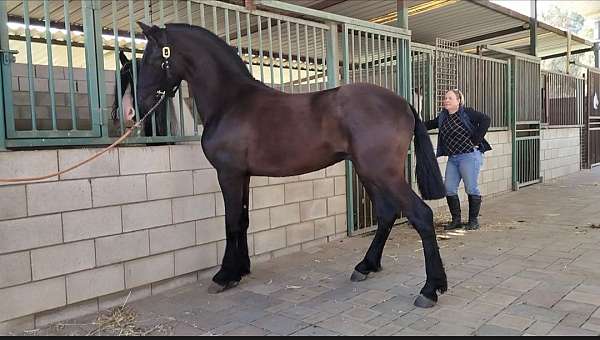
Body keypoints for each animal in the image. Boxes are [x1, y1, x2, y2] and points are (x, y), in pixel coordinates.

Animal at [135, 21, 446, 308]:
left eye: (151, 58)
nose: (140, 104)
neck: (231, 101)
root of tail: (404, 104)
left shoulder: (228, 174)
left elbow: (231, 222)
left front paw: (224, 276)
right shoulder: (243, 175)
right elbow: (243, 220)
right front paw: (241, 269)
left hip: (383, 174)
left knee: (421, 215)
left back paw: (430, 289)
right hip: (369, 172)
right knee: (386, 214)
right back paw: (365, 266)